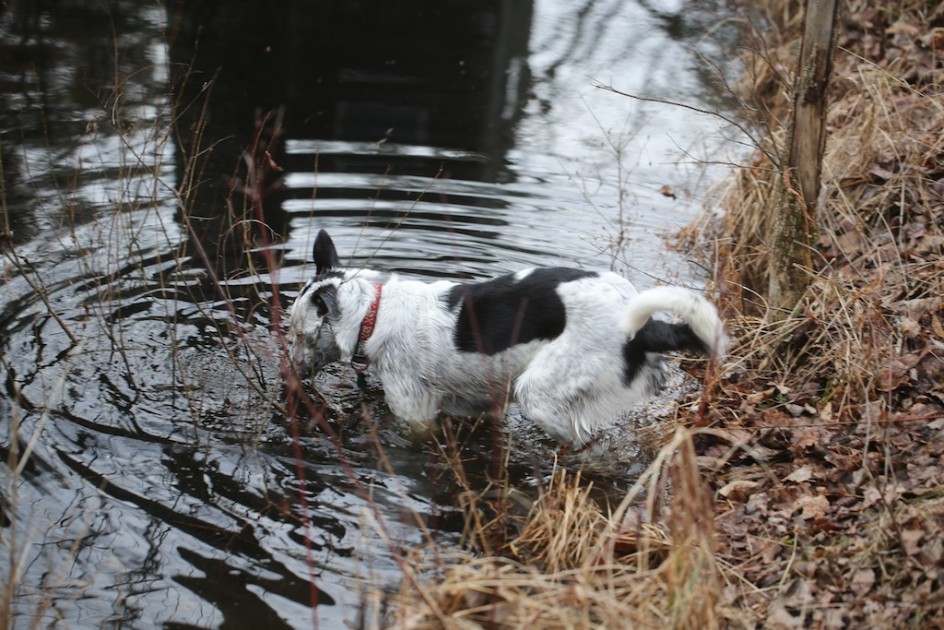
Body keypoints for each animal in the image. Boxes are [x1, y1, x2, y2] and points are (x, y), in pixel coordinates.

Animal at [290, 231, 732, 444]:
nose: (289, 374)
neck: (374, 311)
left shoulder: (414, 412)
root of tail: (643, 323)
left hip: (541, 397)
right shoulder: (483, 406)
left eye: (298, 335)